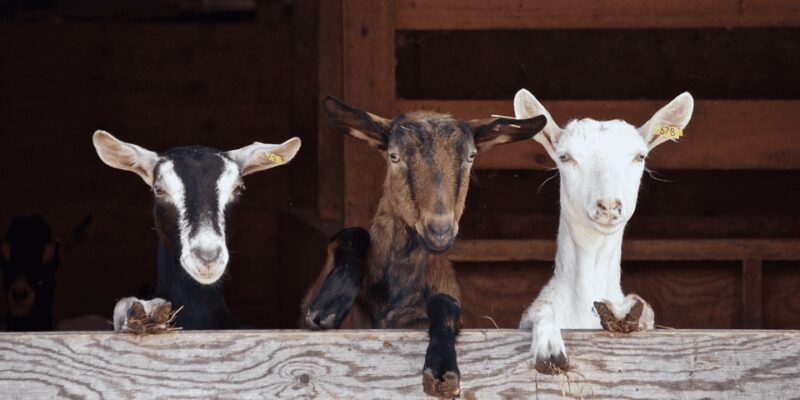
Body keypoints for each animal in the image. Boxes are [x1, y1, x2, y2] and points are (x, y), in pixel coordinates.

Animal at [302, 96, 547, 397]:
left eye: (470, 156)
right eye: (394, 156)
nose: (439, 230)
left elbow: (445, 303)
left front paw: (442, 369)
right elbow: (350, 233)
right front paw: (330, 303)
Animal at [513, 89, 694, 373]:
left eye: (640, 156)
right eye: (564, 157)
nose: (608, 205)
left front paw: (624, 313)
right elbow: (539, 310)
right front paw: (549, 350)